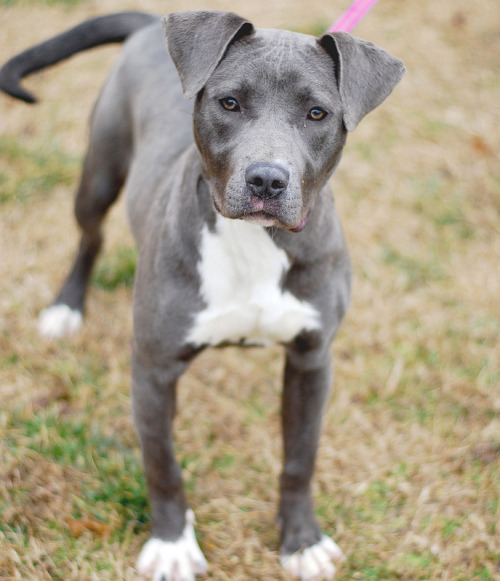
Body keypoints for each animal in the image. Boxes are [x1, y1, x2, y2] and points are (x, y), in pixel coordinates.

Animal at [0, 10, 406, 580]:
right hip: (99, 174)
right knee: (90, 237)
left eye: (317, 113)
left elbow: (301, 457)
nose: (267, 179)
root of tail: (150, 23)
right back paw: (66, 308)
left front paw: (301, 541)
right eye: (229, 102)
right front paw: (172, 543)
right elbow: (162, 463)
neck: (254, 241)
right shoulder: (152, 369)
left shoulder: (311, 361)